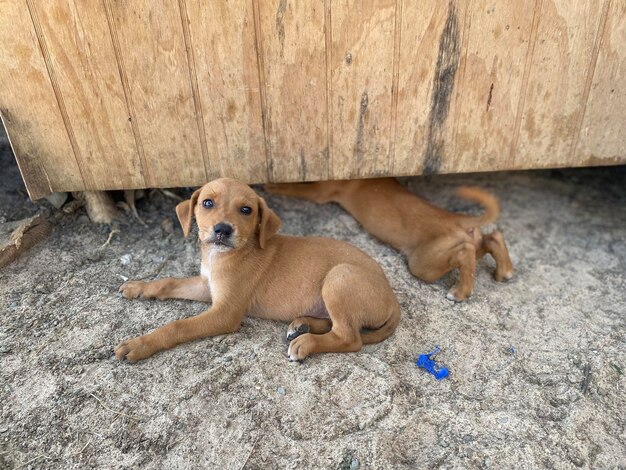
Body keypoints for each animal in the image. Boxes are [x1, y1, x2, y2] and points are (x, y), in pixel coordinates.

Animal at [116, 178, 400, 362]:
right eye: (207, 203)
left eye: (246, 210)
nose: (222, 230)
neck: (222, 256)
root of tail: (393, 298)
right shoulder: (207, 286)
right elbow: (168, 282)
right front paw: (139, 287)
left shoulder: (225, 313)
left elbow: (177, 326)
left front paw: (139, 344)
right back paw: (303, 324)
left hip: (340, 276)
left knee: (350, 338)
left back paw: (306, 342)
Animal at [266, 178, 516, 302]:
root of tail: (458, 220)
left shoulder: (320, 192)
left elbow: (295, 188)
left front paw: (274, 185)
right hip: (470, 243)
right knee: (493, 237)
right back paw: (505, 271)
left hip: (424, 263)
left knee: (465, 253)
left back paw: (460, 292)